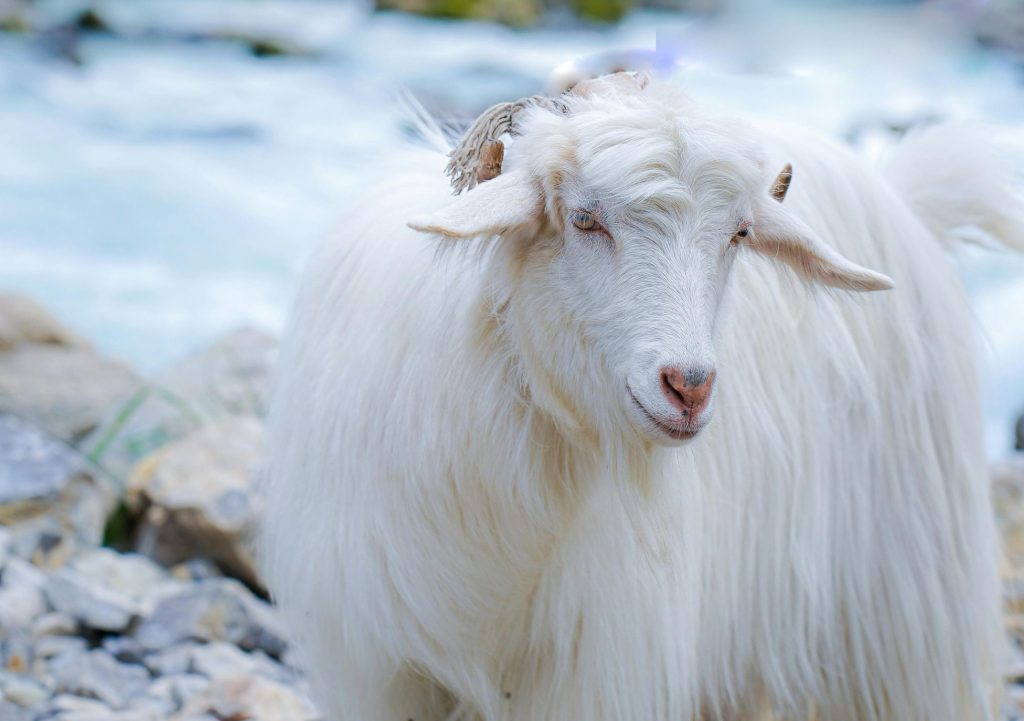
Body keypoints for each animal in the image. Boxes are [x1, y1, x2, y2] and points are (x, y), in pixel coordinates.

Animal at [260, 74, 1019, 721]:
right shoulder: (381, 669)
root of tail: (906, 193)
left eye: (740, 234)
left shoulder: (594, 670)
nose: (689, 386)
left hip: (907, 620)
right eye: (582, 219)